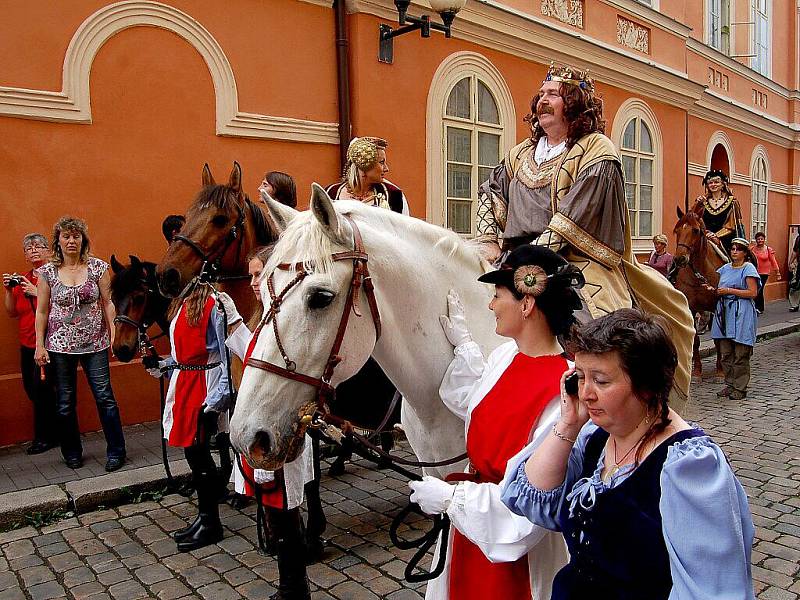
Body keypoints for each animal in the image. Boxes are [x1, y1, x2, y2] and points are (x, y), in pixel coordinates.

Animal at [668, 200, 724, 380]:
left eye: (695, 230)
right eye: (677, 230)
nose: (679, 259)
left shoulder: (716, 306)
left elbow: (719, 339)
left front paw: (720, 369)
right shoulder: (691, 308)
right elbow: (695, 341)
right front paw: (697, 370)